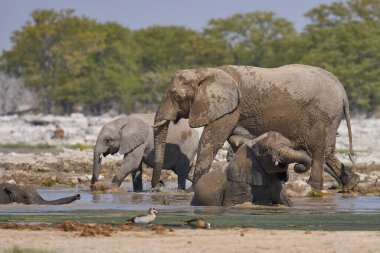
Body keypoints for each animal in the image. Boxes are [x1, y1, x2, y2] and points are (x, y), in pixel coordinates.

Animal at [152, 64, 360, 191]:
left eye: (175, 96)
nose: (156, 187)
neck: (204, 72)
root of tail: (343, 92)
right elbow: (234, 141)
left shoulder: (230, 108)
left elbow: (210, 142)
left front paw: (194, 189)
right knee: (327, 151)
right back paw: (351, 184)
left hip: (322, 114)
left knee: (317, 148)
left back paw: (314, 187)